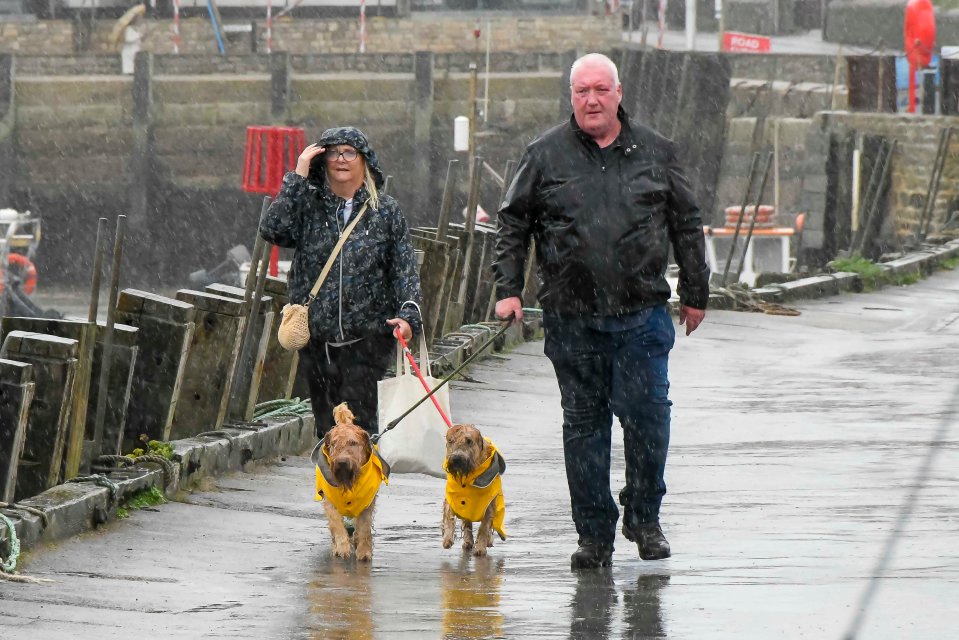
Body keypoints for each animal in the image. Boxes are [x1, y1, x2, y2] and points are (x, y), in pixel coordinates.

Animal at [316, 404, 390, 560]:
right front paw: (342, 548)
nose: (342, 462)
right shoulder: (329, 501)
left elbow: (364, 527)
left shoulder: (367, 503)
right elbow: (337, 524)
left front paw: (364, 551)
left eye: (353, 443)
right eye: (334, 443)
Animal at [440, 424, 506, 556]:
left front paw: (480, 548)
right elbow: (449, 516)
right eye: (450, 440)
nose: (457, 458)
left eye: (469, 441)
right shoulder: (453, 498)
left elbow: (484, 527)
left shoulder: (489, 505)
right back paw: (468, 541)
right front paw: (447, 539)